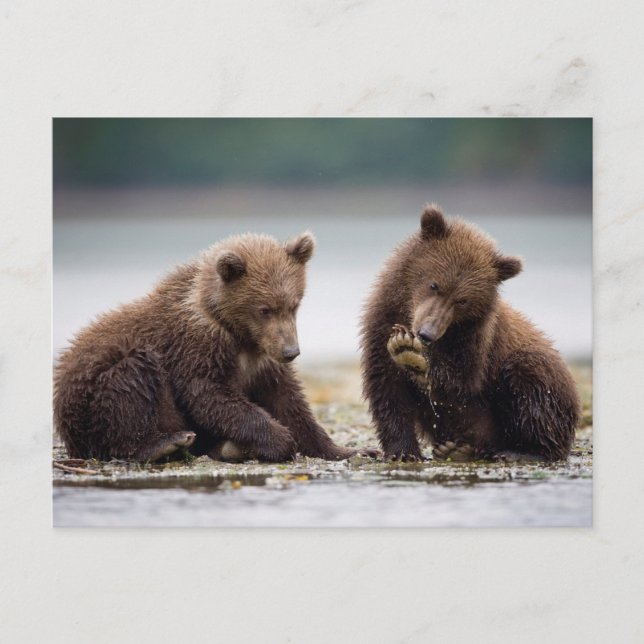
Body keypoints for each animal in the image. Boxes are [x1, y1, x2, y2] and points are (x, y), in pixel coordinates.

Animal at [54, 231, 361, 463]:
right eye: (264, 309)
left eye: (294, 304)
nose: (290, 352)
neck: (238, 334)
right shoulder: (196, 346)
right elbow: (209, 393)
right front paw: (280, 440)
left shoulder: (262, 358)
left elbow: (288, 400)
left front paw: (345, 449)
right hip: (95, 390)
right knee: (130, 380)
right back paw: (164, 443)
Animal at [360, 204, 580, 462]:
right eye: (434, 284)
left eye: (462, 301)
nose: (427, 333)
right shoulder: (380, 323)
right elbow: (388, 389)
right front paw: (403, 451)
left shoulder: (475, 338)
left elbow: (461, 384)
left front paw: (413, 356)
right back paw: (456, 449)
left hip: (544, 379)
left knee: (531, 384)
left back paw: (522, 451)